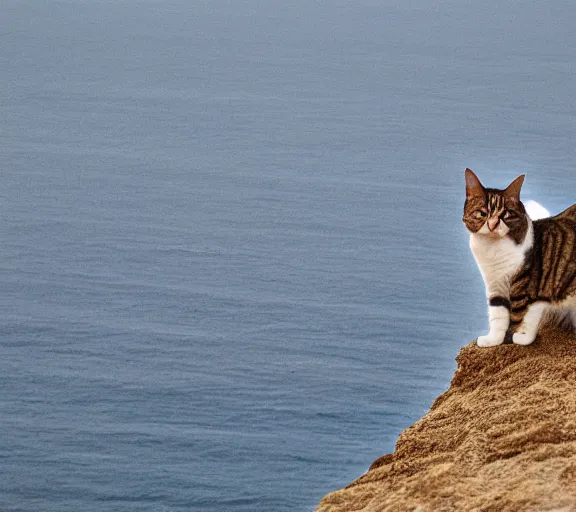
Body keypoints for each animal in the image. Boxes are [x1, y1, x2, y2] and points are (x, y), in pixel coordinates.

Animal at [462, 170, 576, 346]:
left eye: (506, 214)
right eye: (482, 213)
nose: (493, 224)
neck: (492, 249)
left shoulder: (528, 287)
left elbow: (519, 317)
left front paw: (516, 339)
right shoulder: (495, 284)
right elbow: (498, 314)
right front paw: (493, 340)